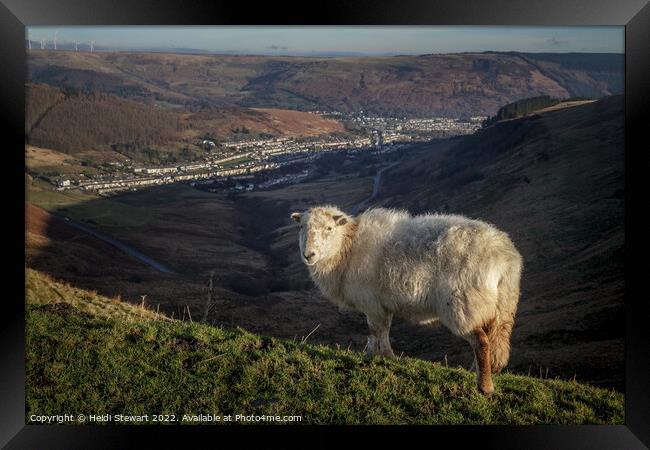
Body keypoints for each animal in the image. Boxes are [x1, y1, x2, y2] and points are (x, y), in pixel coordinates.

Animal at [292, 204, 524, 394]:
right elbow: (384, 330)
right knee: (489, 340)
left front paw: (373, 355)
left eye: (329, 229)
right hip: (496, 307)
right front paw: (385, 356)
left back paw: (485, 387)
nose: (308, 255)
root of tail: (506, 258)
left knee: (482, 342)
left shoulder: (371, 302)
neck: (347, 246)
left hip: (464, 304)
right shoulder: (382, 304)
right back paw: (475, 372)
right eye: (301, 227)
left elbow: (373, 331)